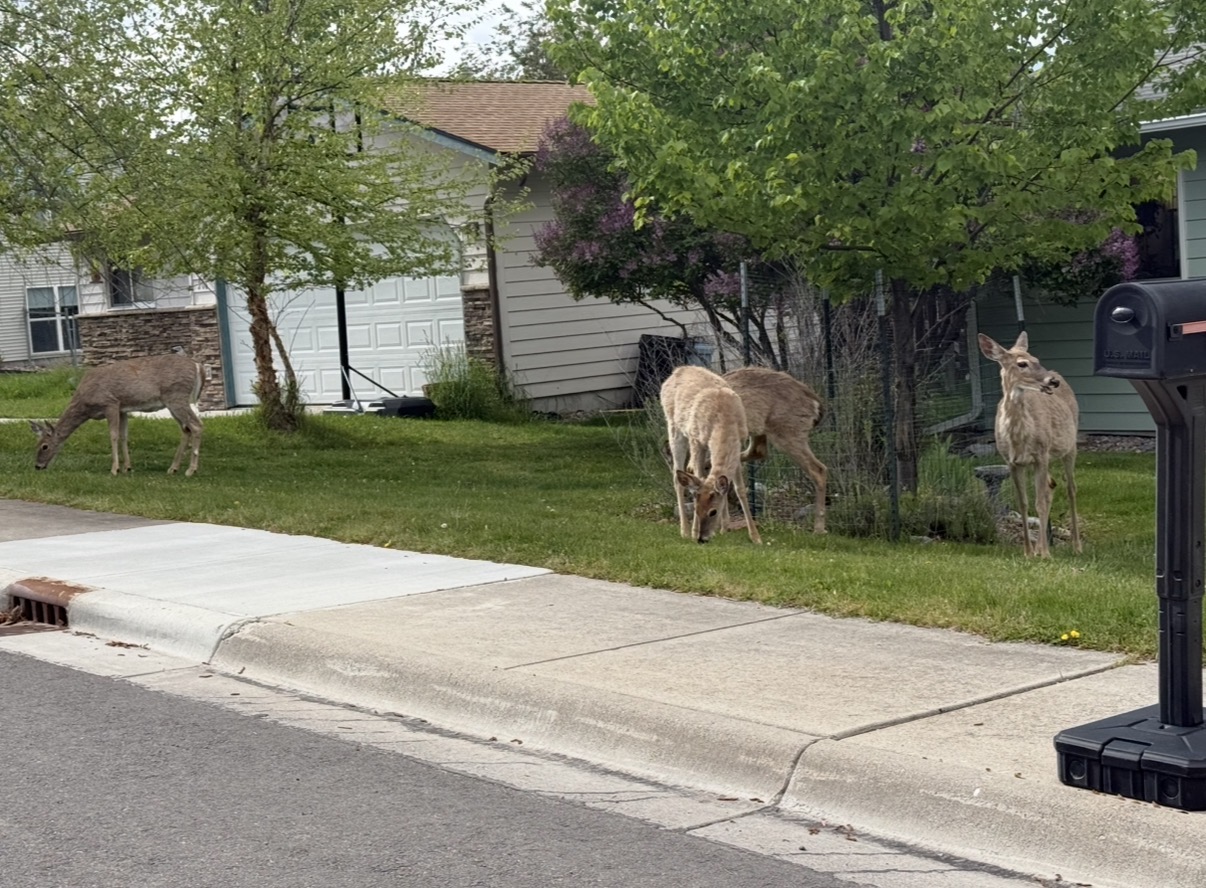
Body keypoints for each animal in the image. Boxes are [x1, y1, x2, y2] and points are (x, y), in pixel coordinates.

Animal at [30, 354, 206, 477]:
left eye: (44, 446)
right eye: (36, 445)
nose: (37, 466)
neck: (85, 404)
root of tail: (197, 366)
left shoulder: (110, 403)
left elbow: (113, 435)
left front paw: (115, 469)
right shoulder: (123, 409)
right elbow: (123, 436)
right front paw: (127, 467)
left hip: (176, 396)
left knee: (196, 425)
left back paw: (191, 470)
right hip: (173, 401)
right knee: (186, 429)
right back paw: (173, 468)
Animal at [660, 364, 761, 544]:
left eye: (713, 511)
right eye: (696, 509)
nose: (702, 539)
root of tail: (678, 370)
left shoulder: (738, 445)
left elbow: (739, 489)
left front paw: (754, 536)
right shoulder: (696, 439)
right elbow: (699, 478)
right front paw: (694, 531)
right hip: (674, 428)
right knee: (677, 478)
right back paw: (684, 530)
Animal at [724, 366, 828, 534]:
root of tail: (816, 402)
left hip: (787, 431)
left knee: (818, 469)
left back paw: (818, 529)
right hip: (762, 430)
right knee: (757, 451)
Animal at [978, 331, 1081, 557]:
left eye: (1036, 359)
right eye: (1022, 363)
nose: (1052, 381)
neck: (1018, 437)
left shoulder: (1040, 455)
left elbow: (1039, 502)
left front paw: (1045, 554)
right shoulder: (1013, 462)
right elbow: (1024, 503)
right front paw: (1028, 552)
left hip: (1070, 446)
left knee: (1070, 488)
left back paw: (1076, 546)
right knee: (1052, 486)